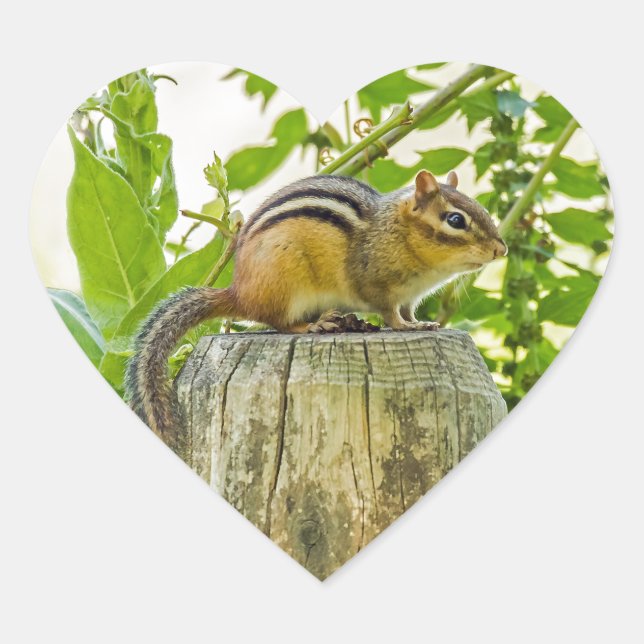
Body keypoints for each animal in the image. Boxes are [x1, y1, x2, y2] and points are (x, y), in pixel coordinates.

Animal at [125, 169, 507, 441]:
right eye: (455, 220)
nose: (501, 249)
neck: (398, 233)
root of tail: (238, 291)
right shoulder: (377, 287)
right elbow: (390, 314)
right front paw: (403, 327)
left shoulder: (410, 296)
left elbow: (408, 311)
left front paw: (423, 324)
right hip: (287, 286)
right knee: (277, 322)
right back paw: (314, 324)